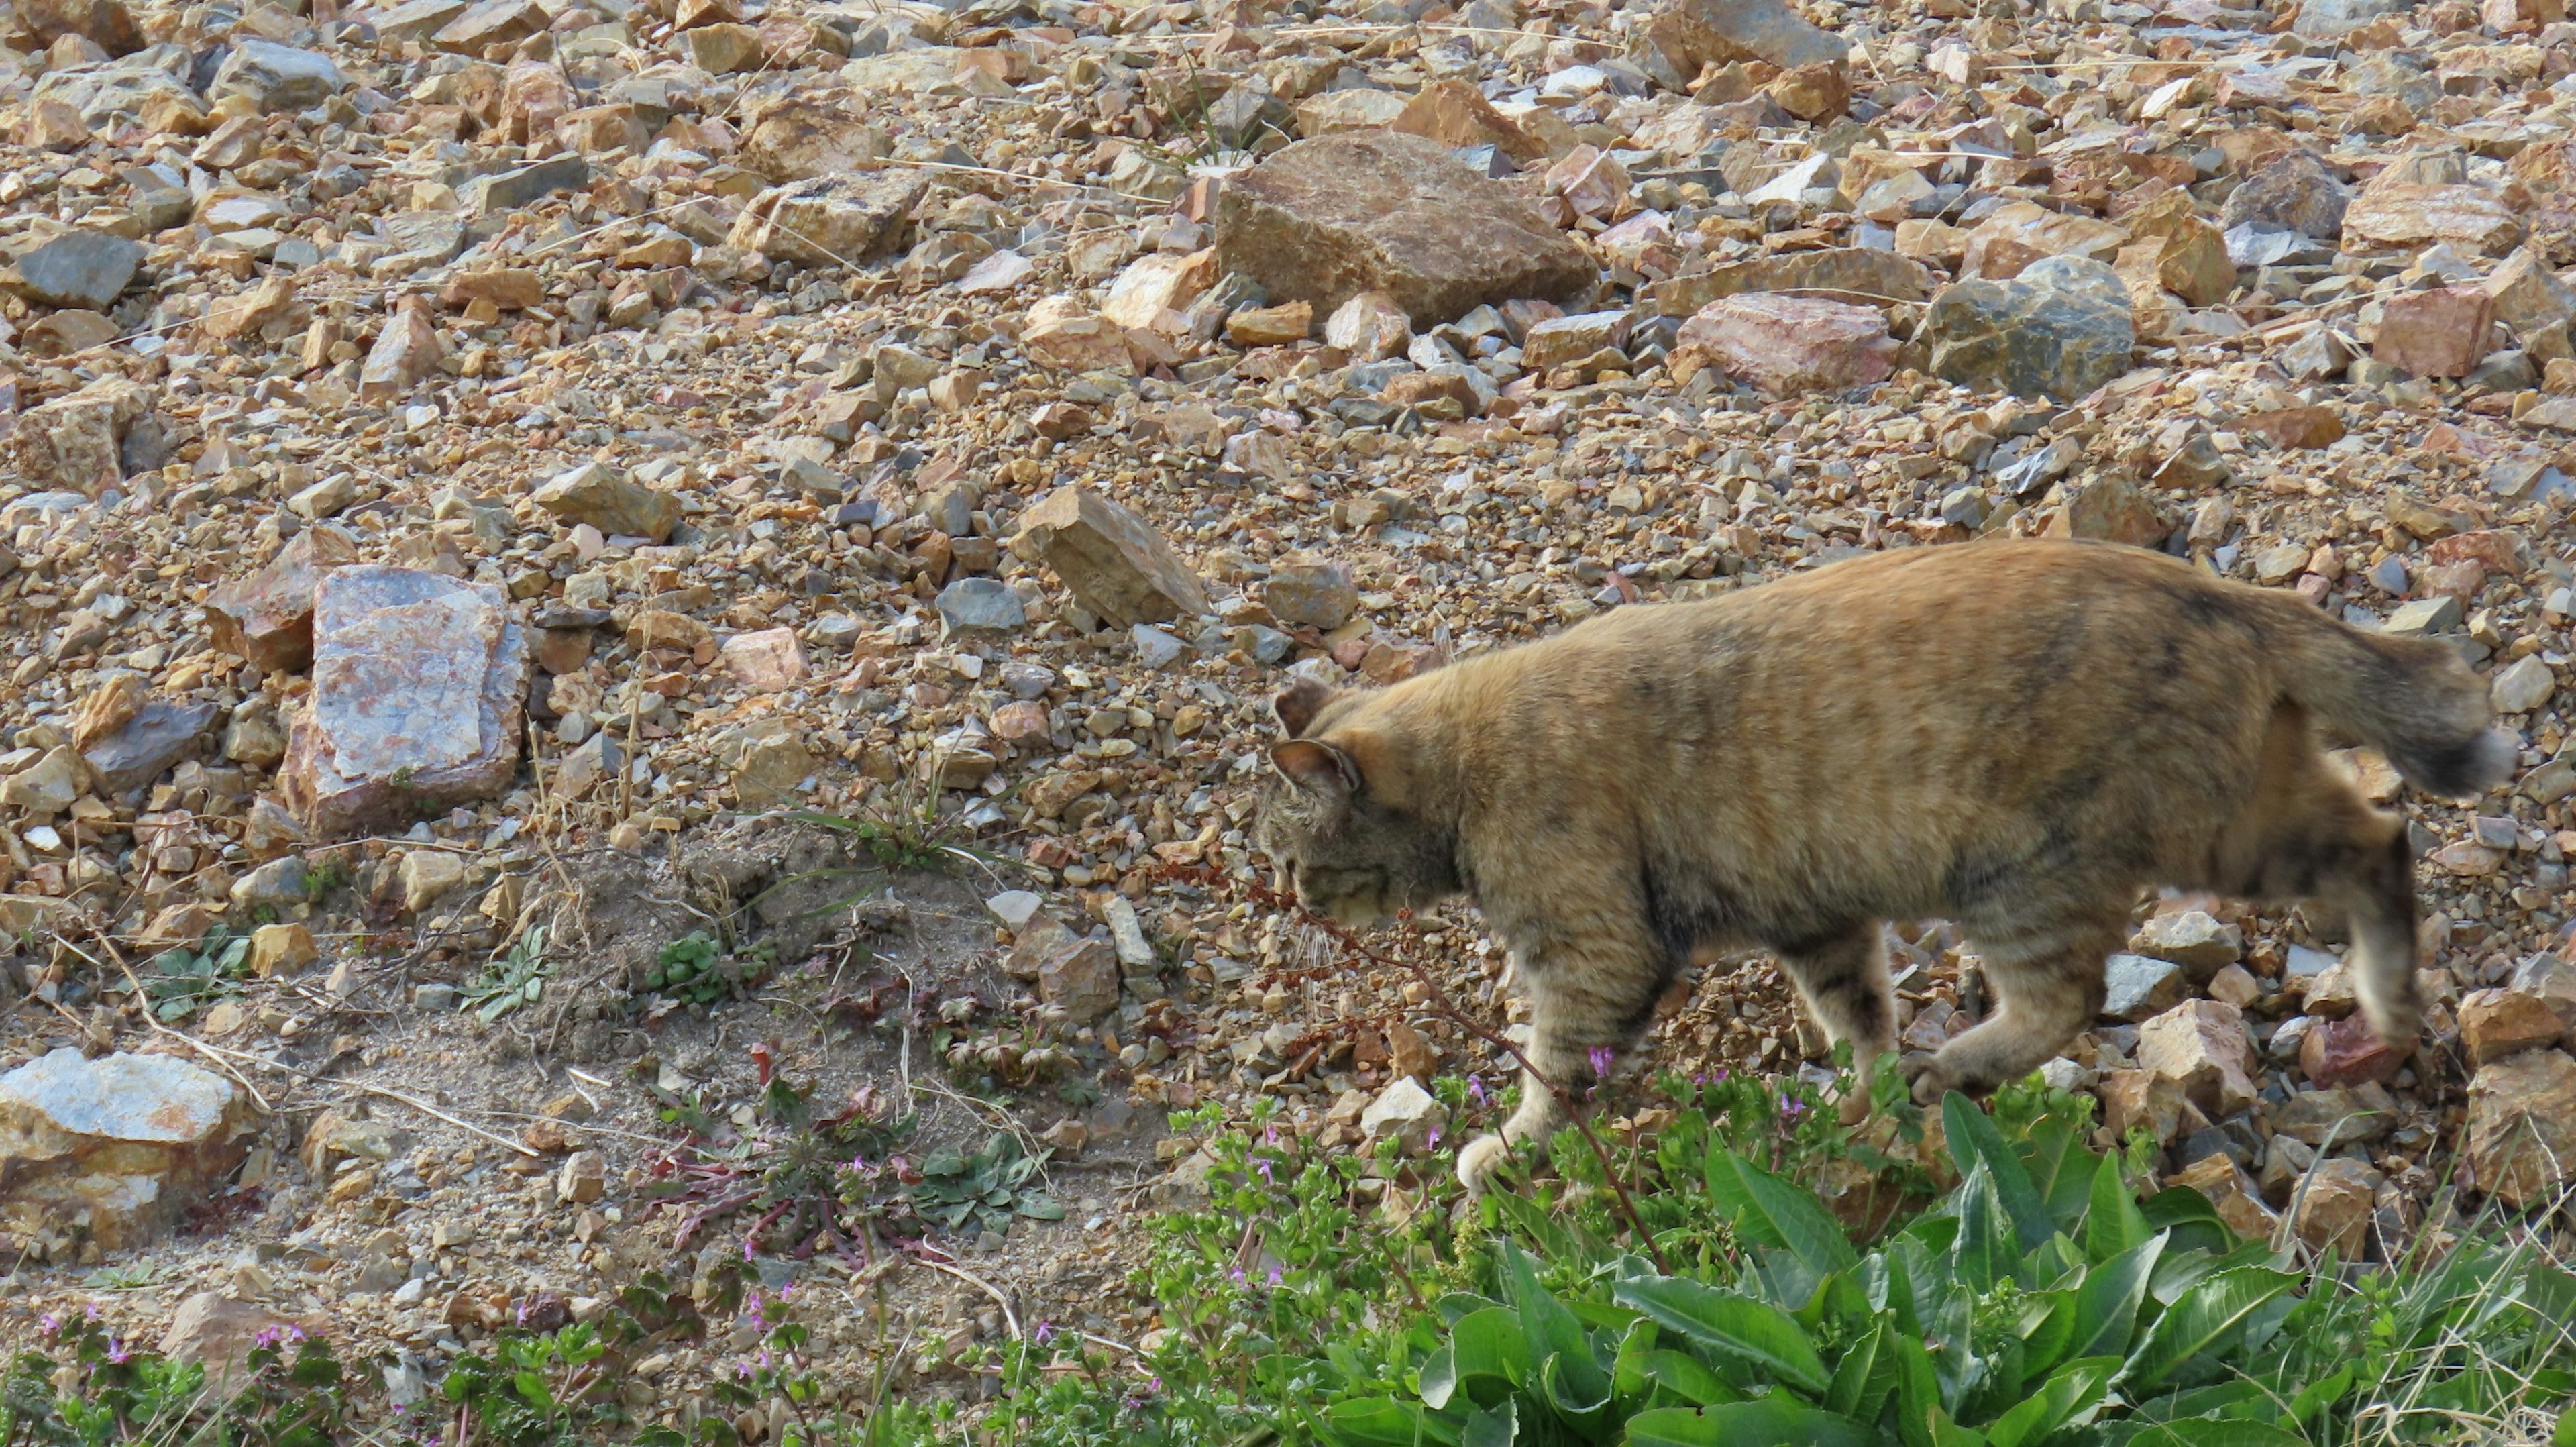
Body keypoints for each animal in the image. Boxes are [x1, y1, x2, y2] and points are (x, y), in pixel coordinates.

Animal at [1256, 535, 2504, 1189]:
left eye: (1294, 847)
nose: (1293, 901)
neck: (1470, 759)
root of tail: (2225, 593)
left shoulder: (1593, 951)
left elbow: (1554, 1068)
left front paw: (1506, 1152)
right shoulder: (1816, 916)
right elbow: (1857, 1009)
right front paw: (1862, 1094)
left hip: (2036, 869)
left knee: (2062, 1000)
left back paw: (1958, 1068)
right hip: (2251, 816)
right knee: (2379, 842)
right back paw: (2391, 1007)